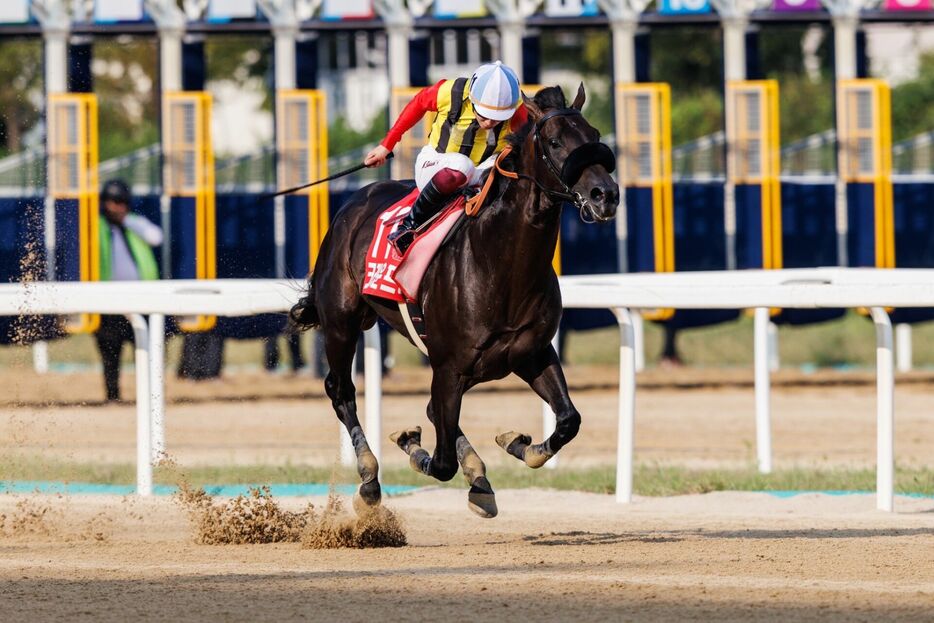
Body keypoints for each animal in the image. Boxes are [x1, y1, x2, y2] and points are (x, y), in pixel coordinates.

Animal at [288, 86, 616, 516]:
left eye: (594, 134)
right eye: (555, 141)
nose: (606, 194)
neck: (499, 264)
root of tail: (353, 204)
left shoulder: (531, 352)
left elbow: (567, 421)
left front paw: (518, 444)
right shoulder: (448, 367)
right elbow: (440, 461)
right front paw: (412, 445)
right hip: (341, 322)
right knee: (341, 391)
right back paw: (370, 478)